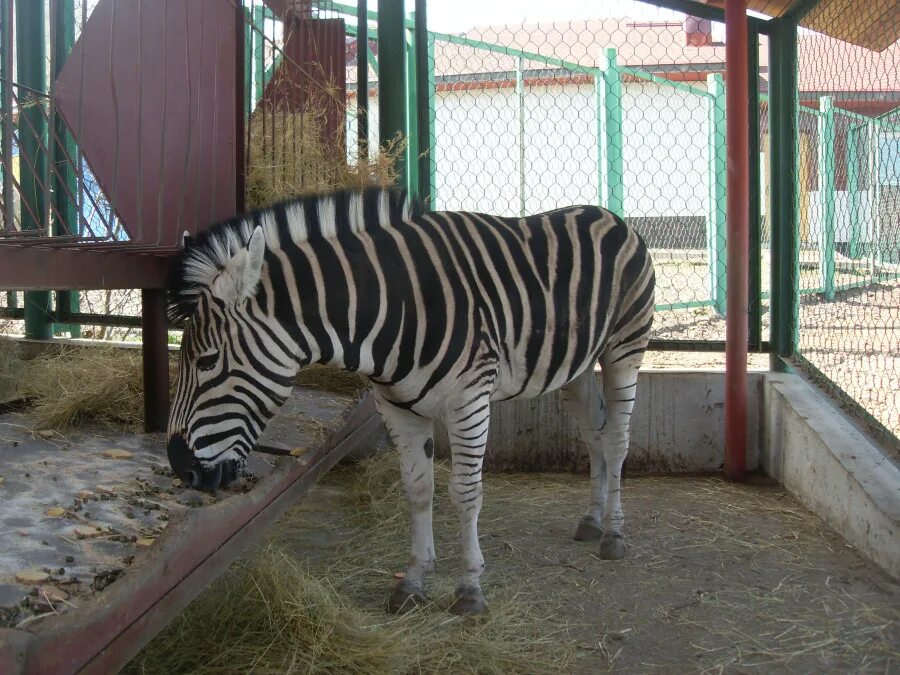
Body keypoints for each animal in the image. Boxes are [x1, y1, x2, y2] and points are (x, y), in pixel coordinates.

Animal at [167, 187, 652, 616]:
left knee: (617, 440)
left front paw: (469, 590)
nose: (180, 467)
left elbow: (465, 493)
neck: (394, 307)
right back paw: (592, 521)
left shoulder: (469, 402)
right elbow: (418, 490)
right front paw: (413, 584)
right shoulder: (396, 407)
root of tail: (605, 212)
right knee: (594, 434)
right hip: (576, 368)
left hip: (624, 349)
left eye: (207, 361)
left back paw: (614, 536)